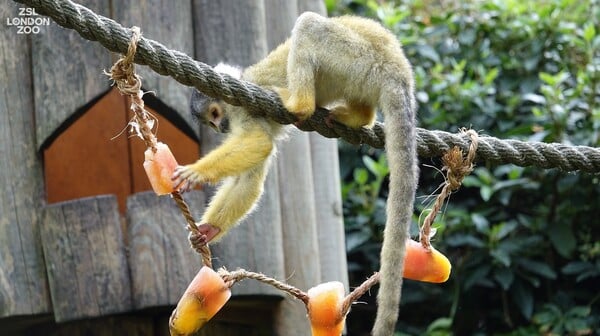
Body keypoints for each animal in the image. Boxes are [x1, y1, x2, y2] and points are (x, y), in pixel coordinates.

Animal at [173, 11, 418, 334]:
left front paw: (196, 174)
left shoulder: (243, 109)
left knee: (309, 25)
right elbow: (250, 176)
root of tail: (398, 71)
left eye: (214, 116)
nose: (220, 128)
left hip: (360, 58)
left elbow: (259, 142)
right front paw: (208, 230)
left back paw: (299, 104)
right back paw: (357, 117)